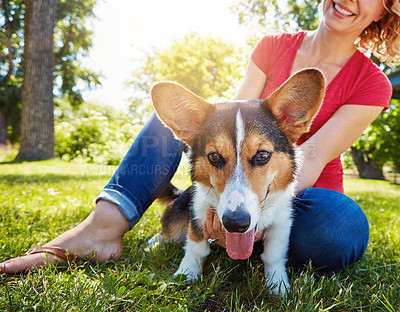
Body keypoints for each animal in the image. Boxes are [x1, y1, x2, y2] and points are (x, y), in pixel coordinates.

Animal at [148, 68, 324, 298]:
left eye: (262, 155)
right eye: (214, 157)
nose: (235, 224)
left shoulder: (282, 220)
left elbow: (274, 255)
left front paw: (278, 286)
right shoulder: (198, 213)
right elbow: (195, 247)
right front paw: (186, 274)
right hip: (178, 211)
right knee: (167, 233)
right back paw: (152, 244)